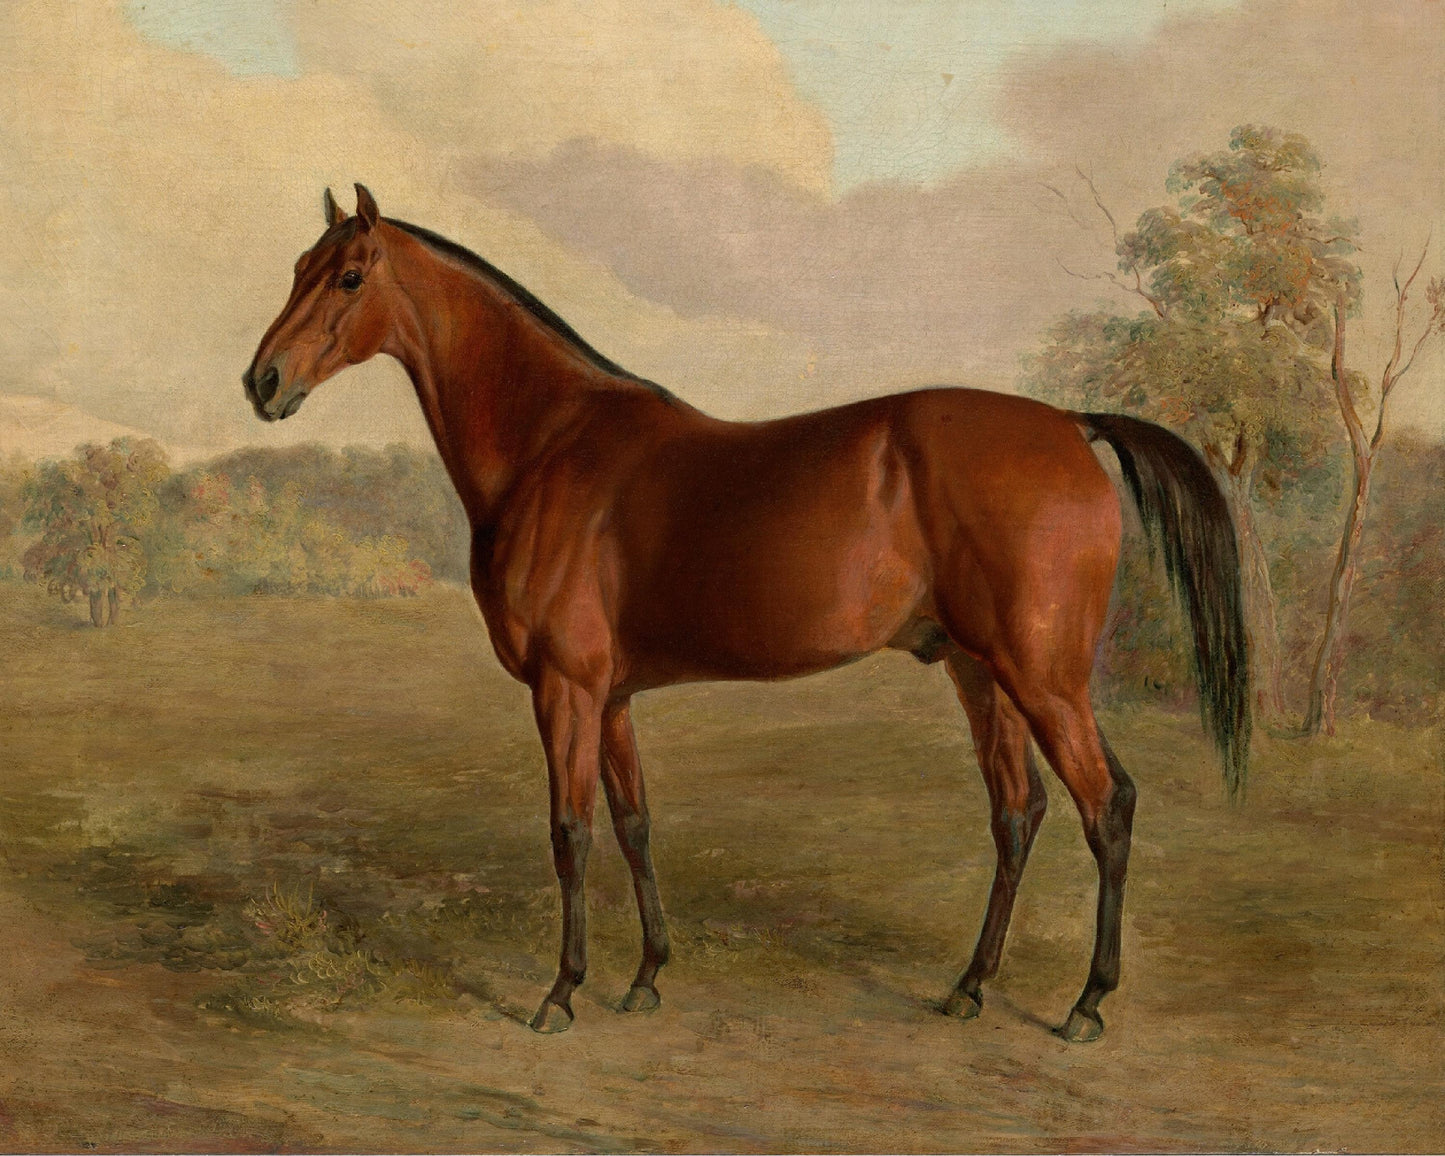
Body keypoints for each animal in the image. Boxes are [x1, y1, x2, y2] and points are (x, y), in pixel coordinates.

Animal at [244, 185, 1249, 1042]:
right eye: (295, 265)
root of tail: (1070, 424)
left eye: (348, 276)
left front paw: (560, 993)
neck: (551, 444)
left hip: (1043, 675)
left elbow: (570, 833)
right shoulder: (611, 697)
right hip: (980, 671)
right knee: (1017, 811)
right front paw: (646, 977)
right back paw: (968, 987)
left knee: (1105, 805)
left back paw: (1086, 1003)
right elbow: (633, 823)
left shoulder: (565, 690)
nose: (263, 382)